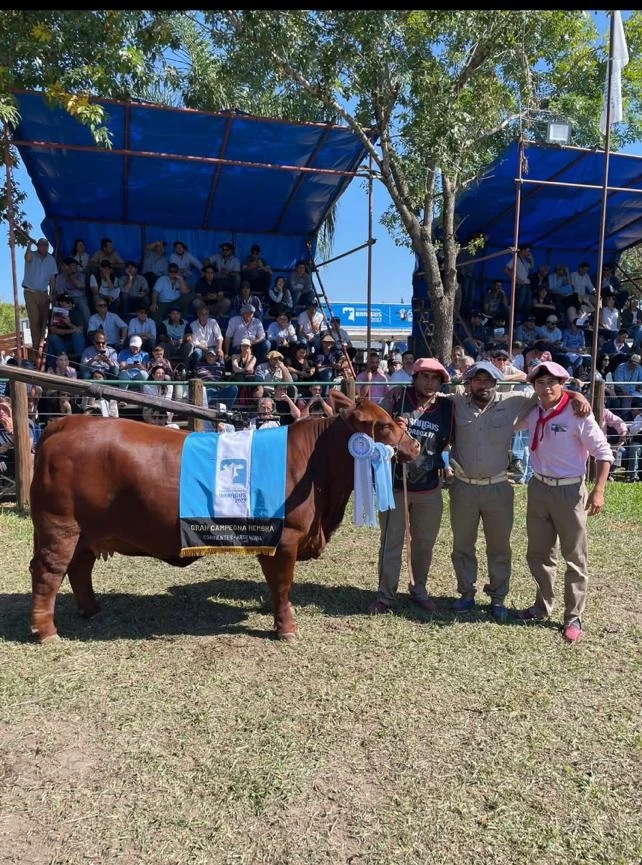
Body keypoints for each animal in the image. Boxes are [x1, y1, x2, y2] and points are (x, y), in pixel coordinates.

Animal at [30, 392, 418, 640]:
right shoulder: (286, 538)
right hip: (59, 527)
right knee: (48, 572)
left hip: (84, 533)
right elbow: (282, 583)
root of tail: (64, 424)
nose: (415, 445)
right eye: (384, 426)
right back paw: (47, 631)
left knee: (79, 568)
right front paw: (287, 627)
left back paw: (91, 610)